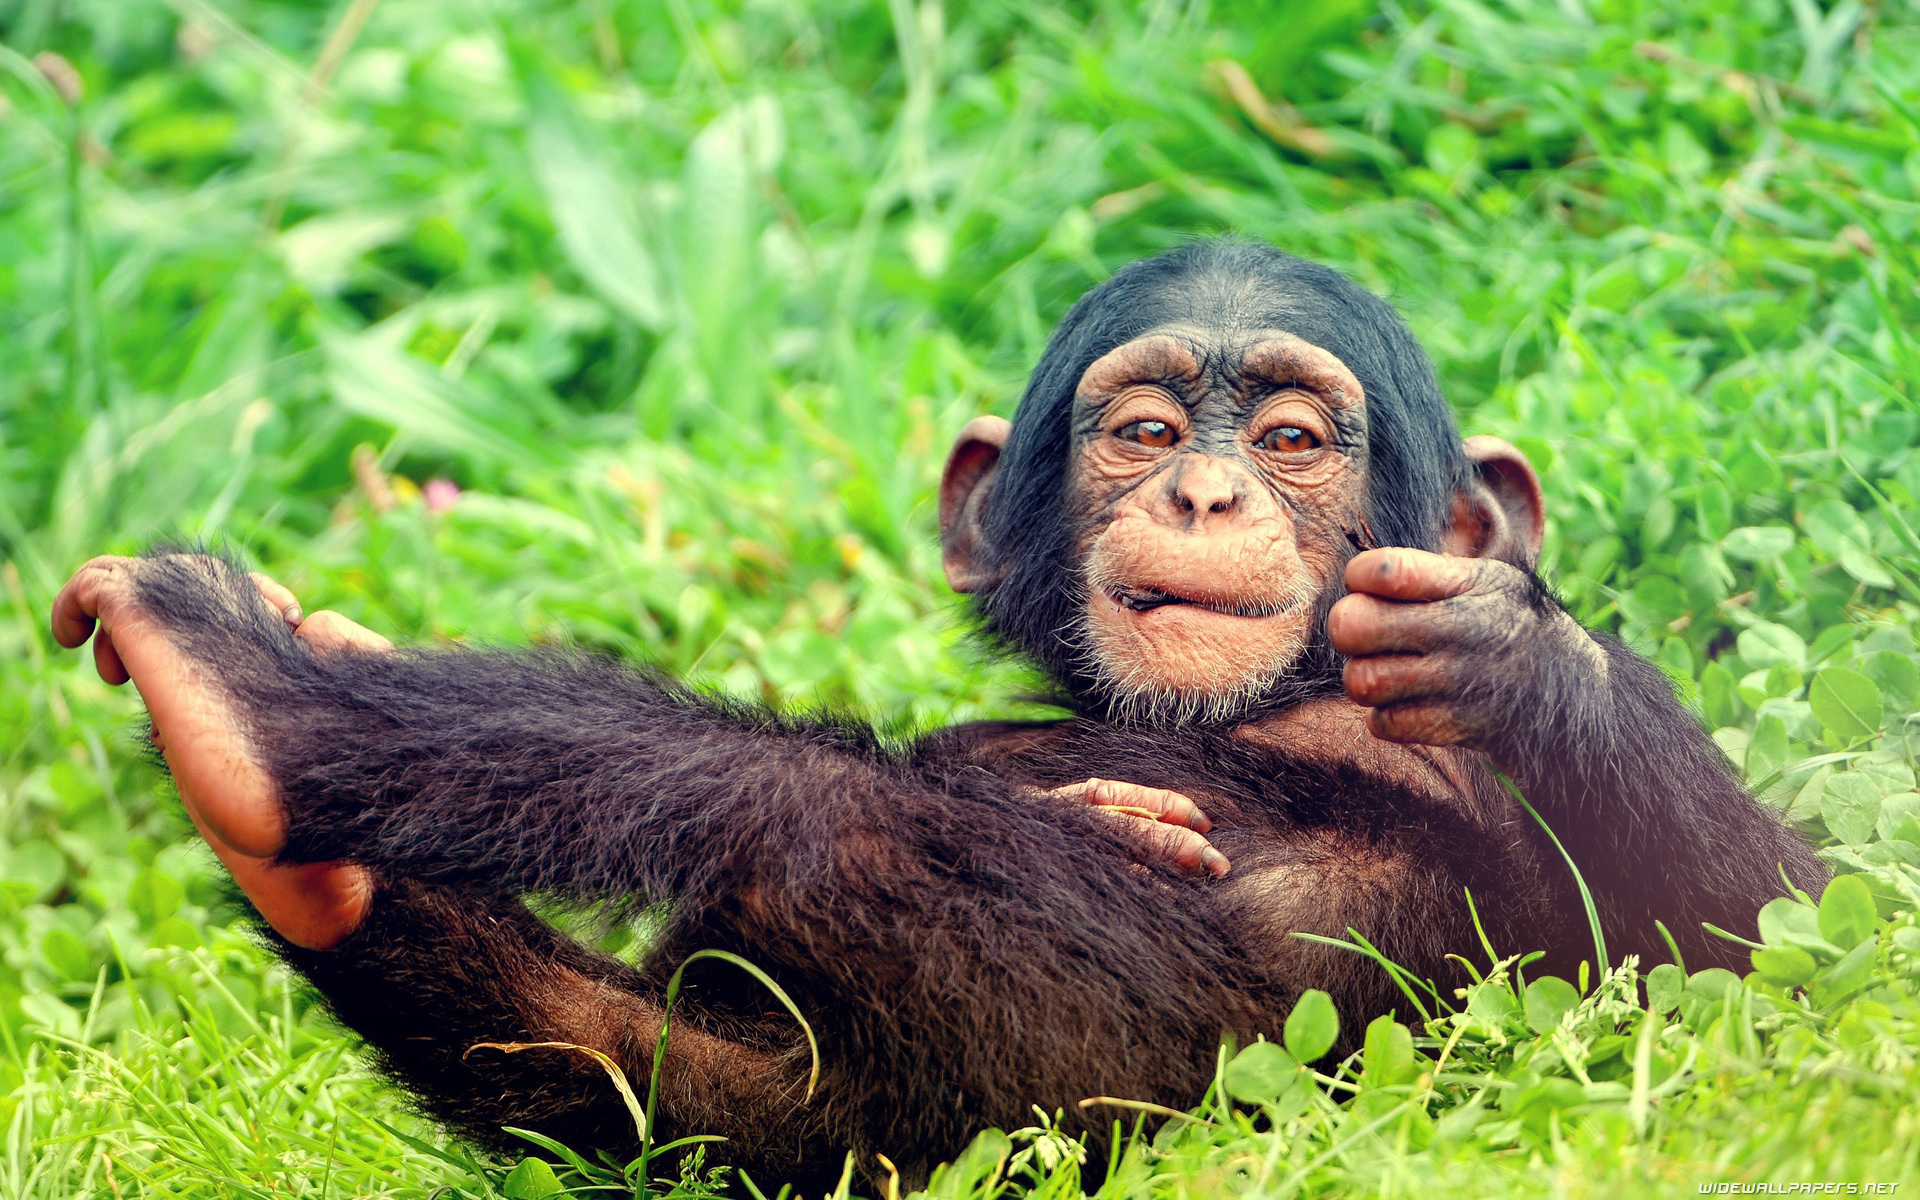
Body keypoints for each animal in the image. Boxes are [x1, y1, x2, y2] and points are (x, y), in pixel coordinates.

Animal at [52, 238, 1823, 1190]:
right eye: (1147, 426)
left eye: (1296, 437)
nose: (1205, 488)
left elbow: (1768, 936)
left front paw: (1518, 650)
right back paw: (290, 820)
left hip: (1112, 1069)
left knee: (819, 816)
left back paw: (261, 708)